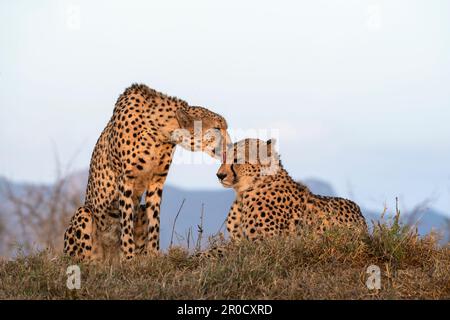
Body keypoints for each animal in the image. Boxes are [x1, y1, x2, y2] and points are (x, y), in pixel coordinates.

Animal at [63, 84, 230, 262]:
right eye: (217, 128)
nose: (230, 144)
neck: (161, 131)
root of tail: (109, 259)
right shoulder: (126, 180)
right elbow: (126, 223)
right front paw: (129, 258)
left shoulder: (156, 181)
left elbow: (154, 222)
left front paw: (154, 256)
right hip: (84, 214)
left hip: (140, 210)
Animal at [209, 139, 368, 254]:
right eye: (223, 159)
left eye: (238, 160)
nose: (220, 175)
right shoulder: (239, 240)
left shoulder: (267, 245)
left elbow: (222, 250)